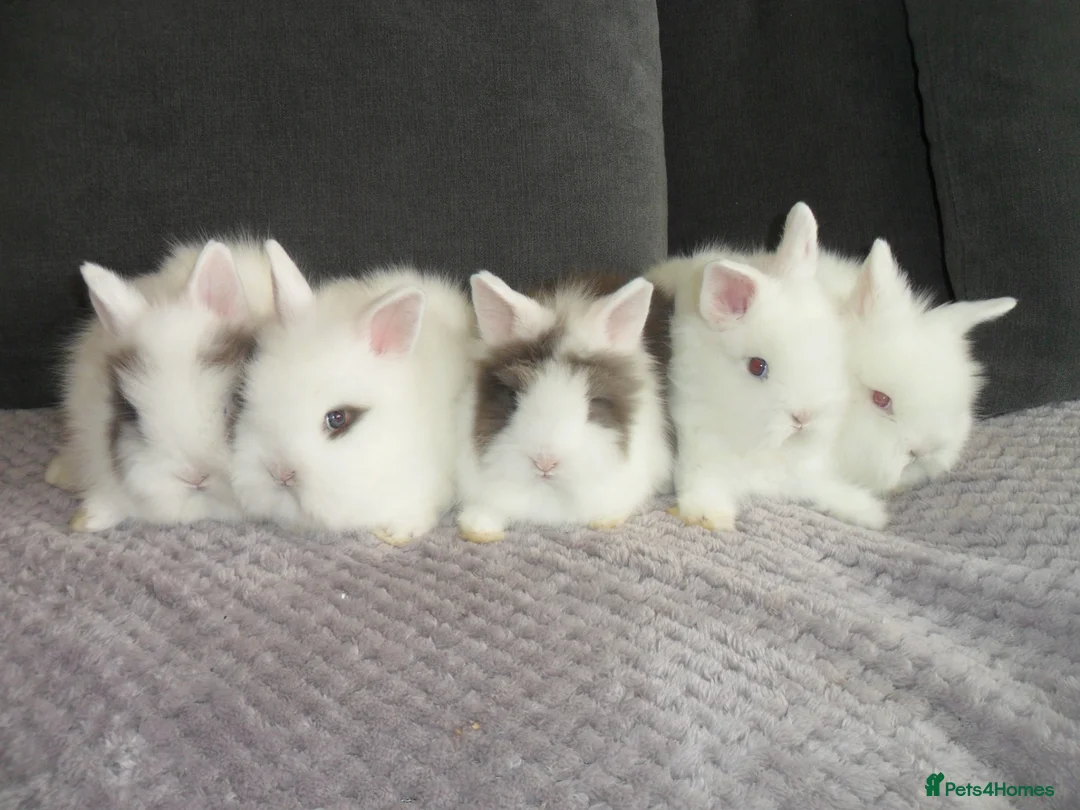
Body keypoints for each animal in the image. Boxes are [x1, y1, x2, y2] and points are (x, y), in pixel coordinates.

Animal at [648, 202, 888, 531]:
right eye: (757, 366)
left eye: (830, 346)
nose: (803, 418)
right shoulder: (698, 441)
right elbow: (703, 481)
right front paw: (709, 515)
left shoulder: (804, 472)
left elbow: (822, 488)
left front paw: (867, 510)